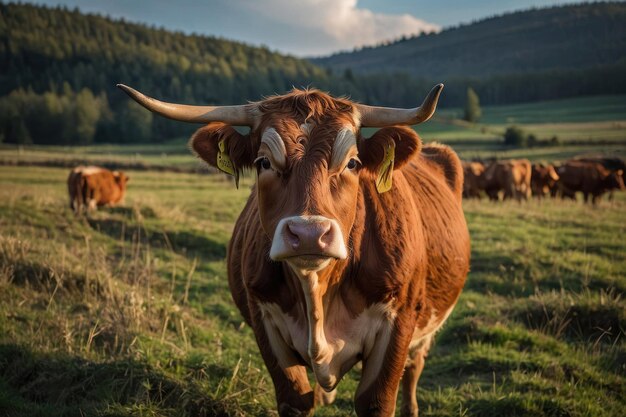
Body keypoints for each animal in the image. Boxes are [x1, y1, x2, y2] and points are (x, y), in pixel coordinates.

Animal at [119, 82, 466, 416]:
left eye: (353, 163)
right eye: (263, 162)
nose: (309, 233)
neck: (318, 291)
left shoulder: (399, 323)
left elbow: (377, 401)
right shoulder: (265, 322)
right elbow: (295, 399)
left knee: (414, 366)